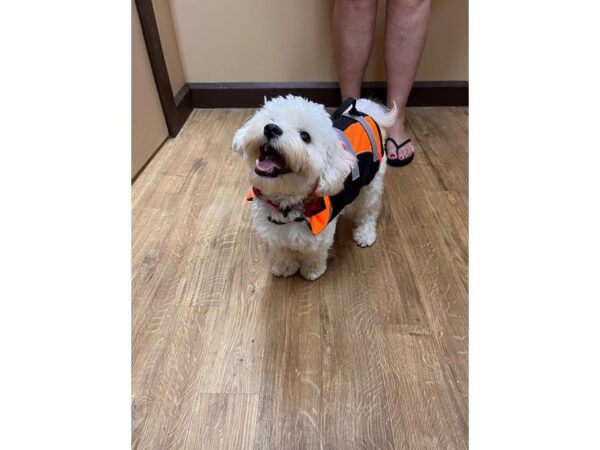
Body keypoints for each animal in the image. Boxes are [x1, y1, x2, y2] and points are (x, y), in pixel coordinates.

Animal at [232, 95, 396, 280]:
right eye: (272, 120)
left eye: (305, 136)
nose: (271, 129)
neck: (285, 206)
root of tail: (363, 112)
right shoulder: (275, 232)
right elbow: (283, 251)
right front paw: (285, 266)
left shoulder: (319, 237)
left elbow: (314, 254)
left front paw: (312, 270)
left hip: (371, 184)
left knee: (369, 212)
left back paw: (365, 234)